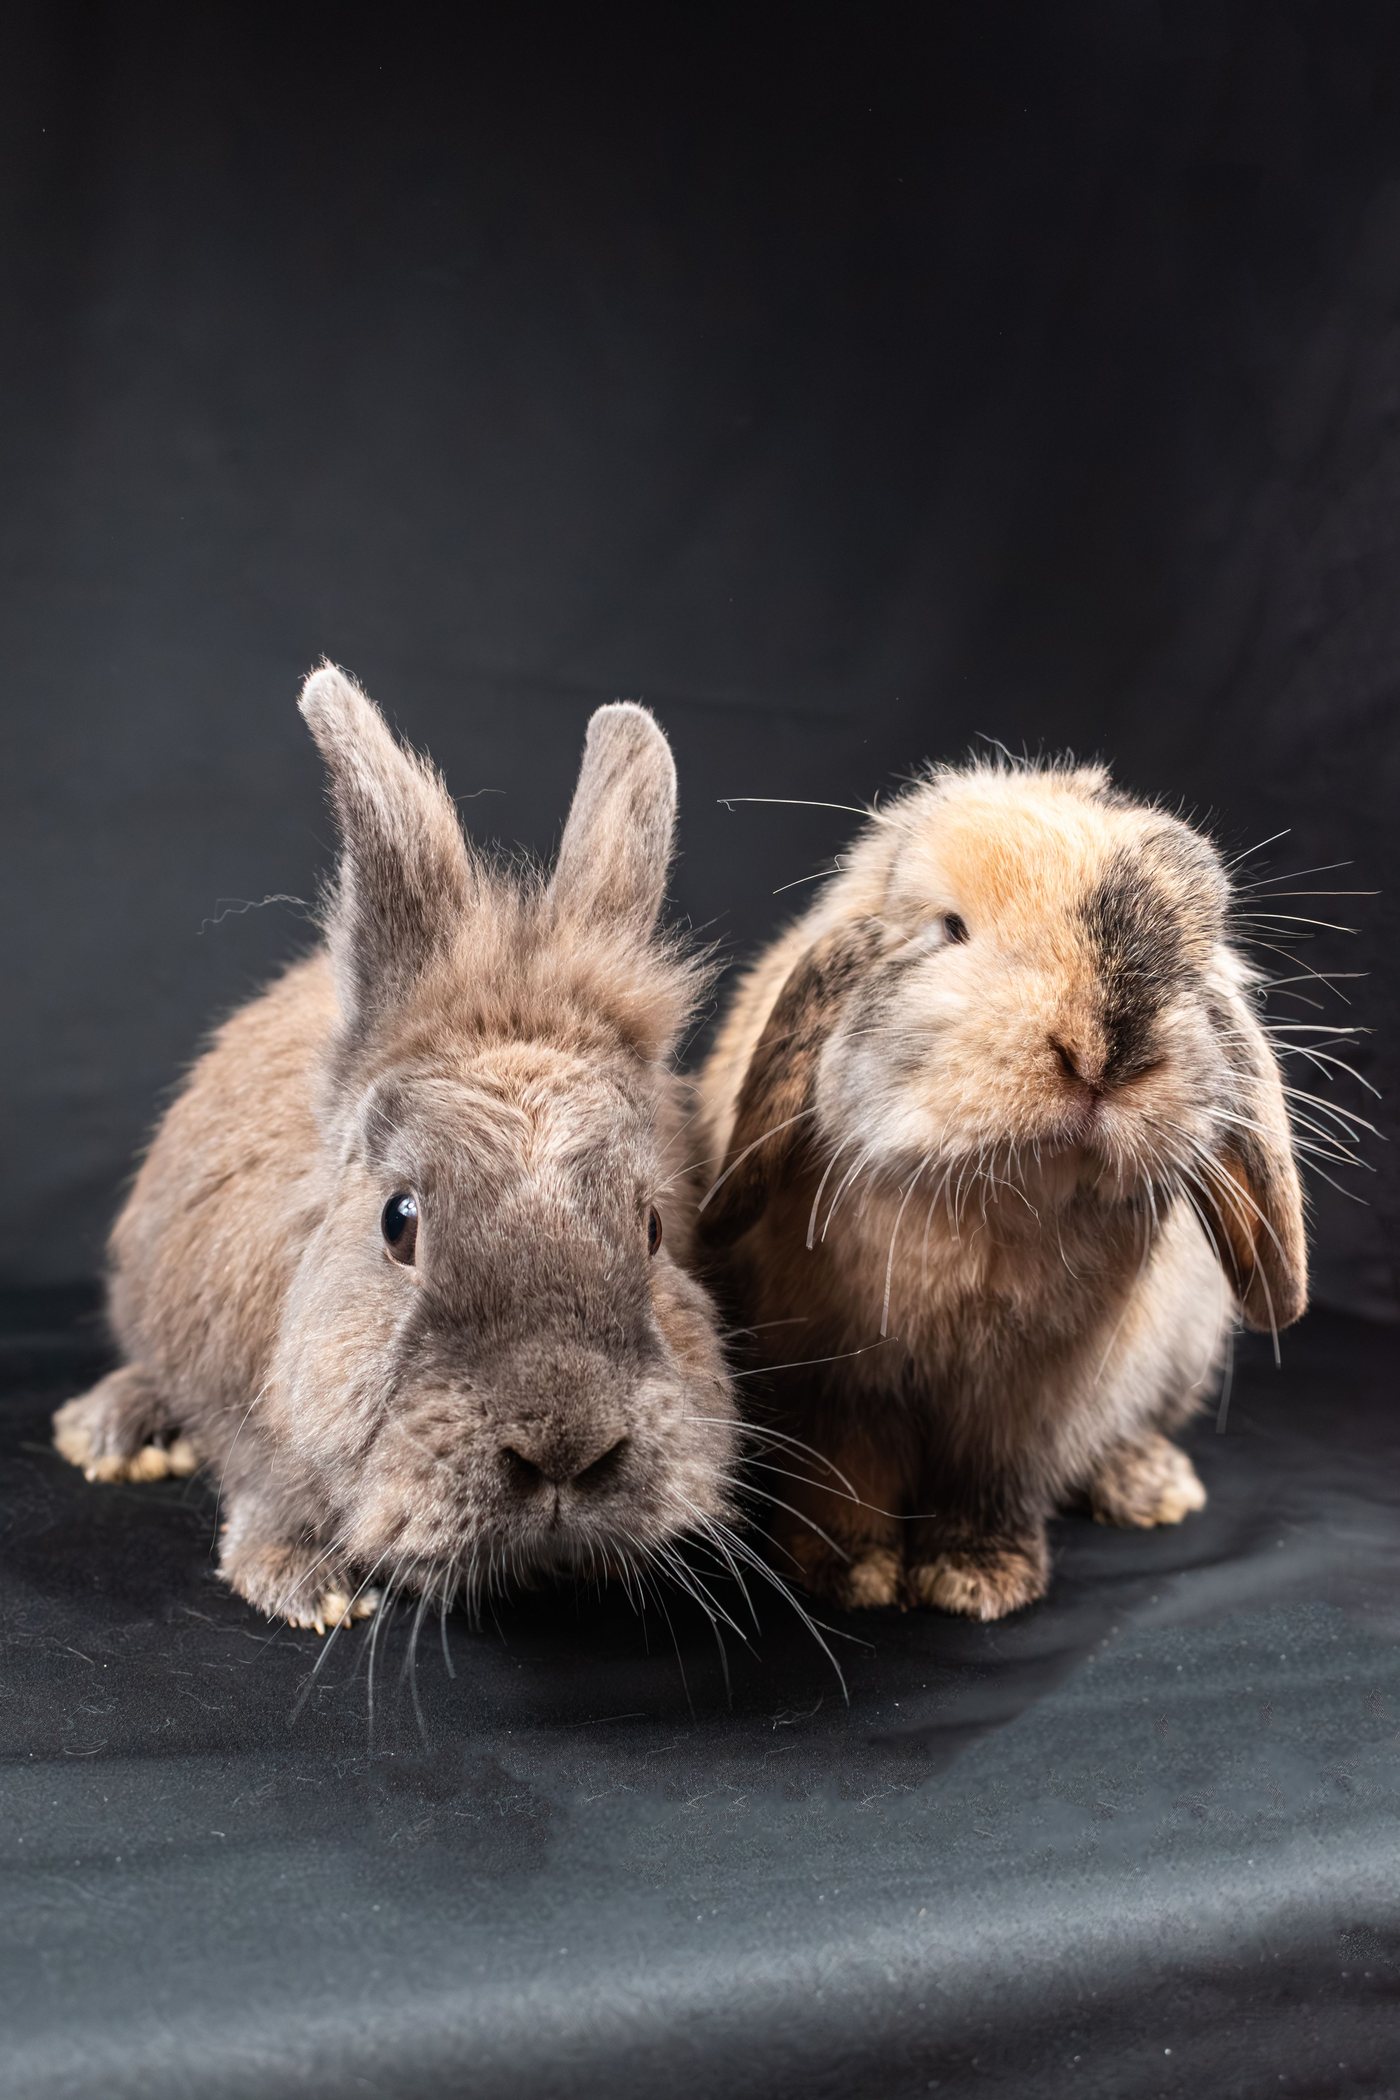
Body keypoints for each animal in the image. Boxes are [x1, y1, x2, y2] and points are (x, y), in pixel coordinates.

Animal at [696, 756, 1309, 1620]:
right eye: (950, 927)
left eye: (1192, 959)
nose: (1102, 1052)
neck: (996, 1205)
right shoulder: (838, 1385)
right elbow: (847, 1477)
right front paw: (845, 1574)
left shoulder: (1023, 1412)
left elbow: (991, 1485)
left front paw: (978, 1579)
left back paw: (1154, 1489)